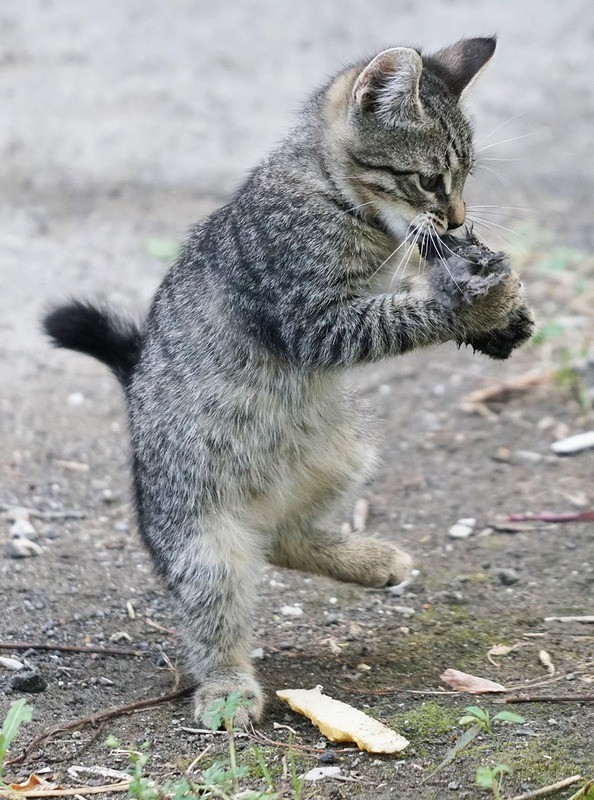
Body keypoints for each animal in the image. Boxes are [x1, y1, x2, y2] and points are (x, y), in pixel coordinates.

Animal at [44, 36, 528, 724]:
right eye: (430, 178)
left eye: (466, 178)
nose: (459, 218)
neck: (331, 192)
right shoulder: (313, 318)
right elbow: (404, 313)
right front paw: (478, 304)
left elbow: (406, 288)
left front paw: (497, 314)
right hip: (204, 540)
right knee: (221, 602)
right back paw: (227, 690)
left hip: (346, 452)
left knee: (284, 538)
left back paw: (372, 560)